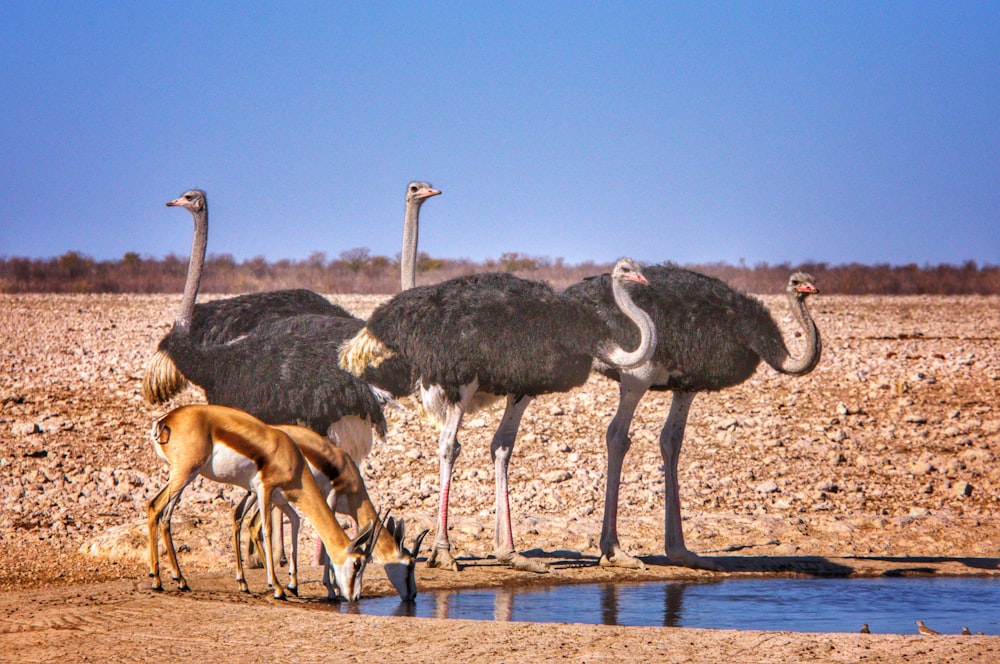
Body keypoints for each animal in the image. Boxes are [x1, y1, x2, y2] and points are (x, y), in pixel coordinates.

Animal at [147, 404, 378, 600]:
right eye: (357, 564)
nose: (355, 597)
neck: (293, 458)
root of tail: (166, 420)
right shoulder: (264, 490)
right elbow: (267, 530)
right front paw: (279, 587)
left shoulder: (280, 497)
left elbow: (294, 522)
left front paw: (290, 585)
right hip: (185, 474)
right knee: (156, 507)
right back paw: (161, 580)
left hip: (182, 477)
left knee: (161, 512)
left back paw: (177, 579)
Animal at [241, 426, 430, 600]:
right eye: (410, 565)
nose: (413, 595)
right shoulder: (331, 497)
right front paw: (331, 589)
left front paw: (337, 587)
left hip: (259, 492)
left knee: (243, 518)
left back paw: (248, 584)